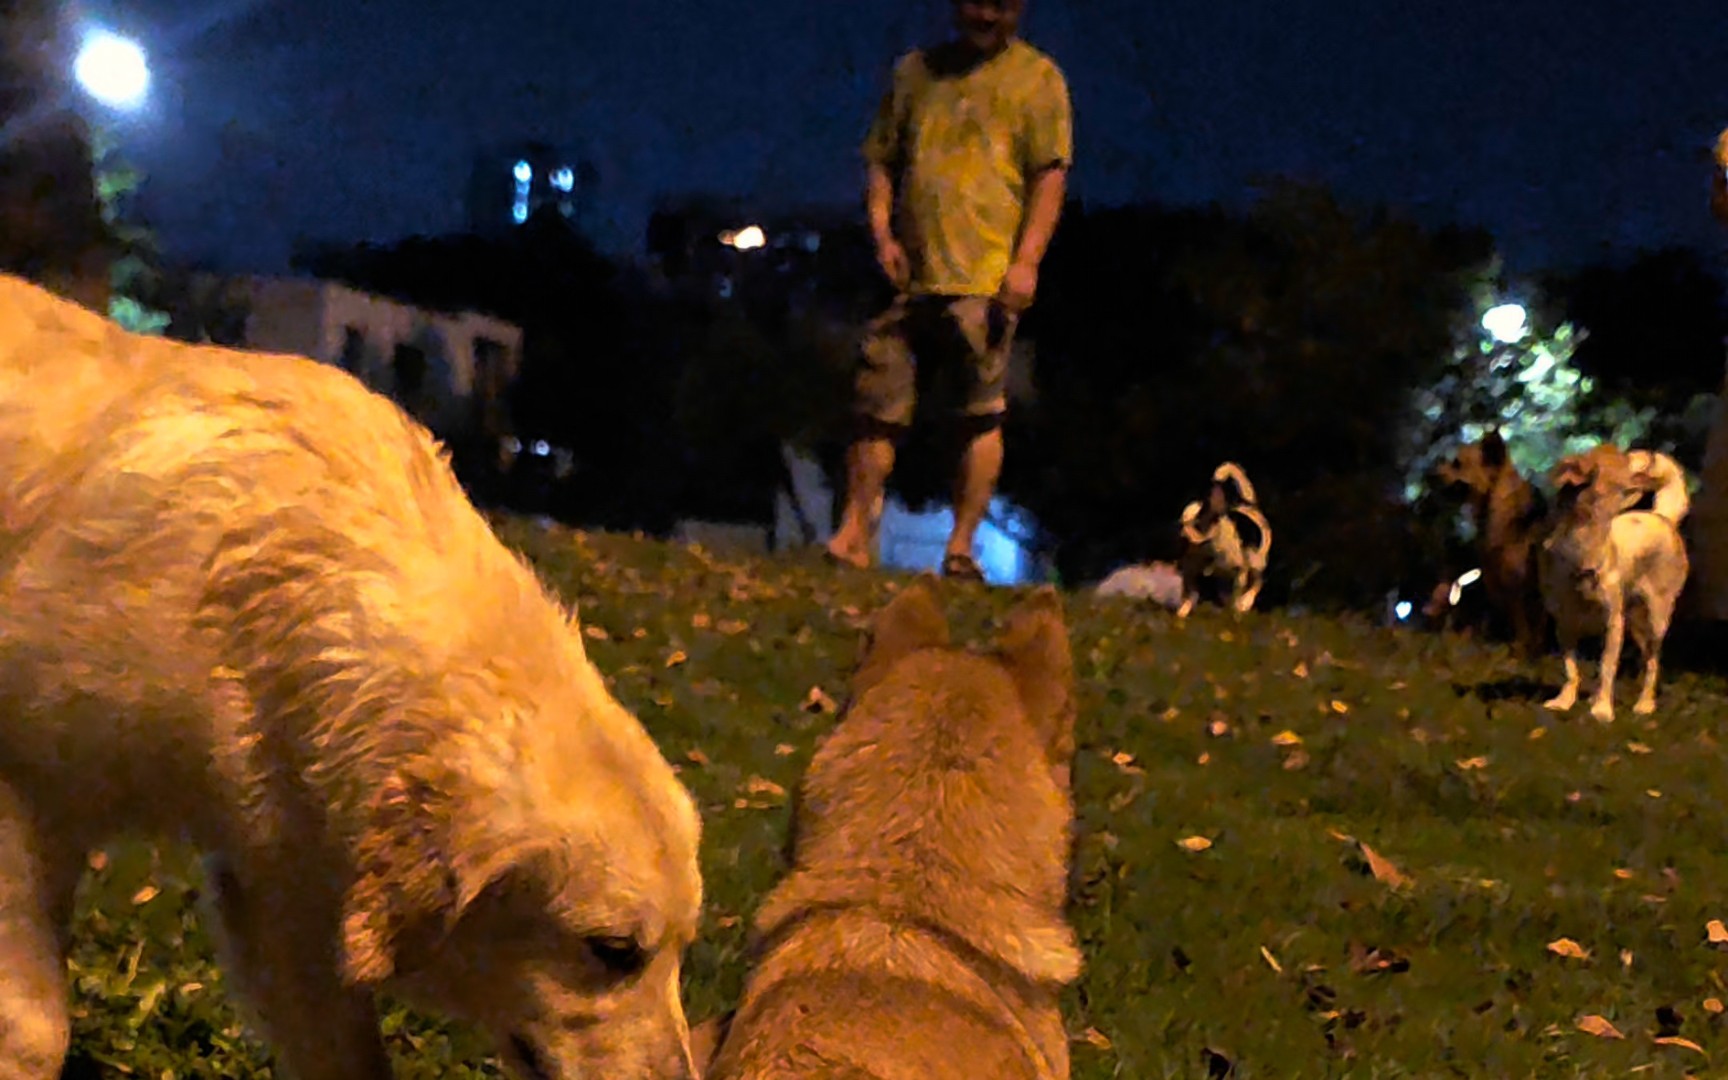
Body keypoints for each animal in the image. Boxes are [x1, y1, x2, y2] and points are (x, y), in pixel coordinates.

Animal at [1541, 442, 1686, 718]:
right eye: (1623, 459)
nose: (1647, 454)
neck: (1581, 551)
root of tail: (1662, 516)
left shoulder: (1613, 624)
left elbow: (1607, 668)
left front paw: (1602, 710)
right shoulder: (1564, 625)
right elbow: (1571, 669)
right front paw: (1565, 701)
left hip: (1656, 619)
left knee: (1653, 662)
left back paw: (1645, 703)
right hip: (1636, 624)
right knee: (1646, 658)